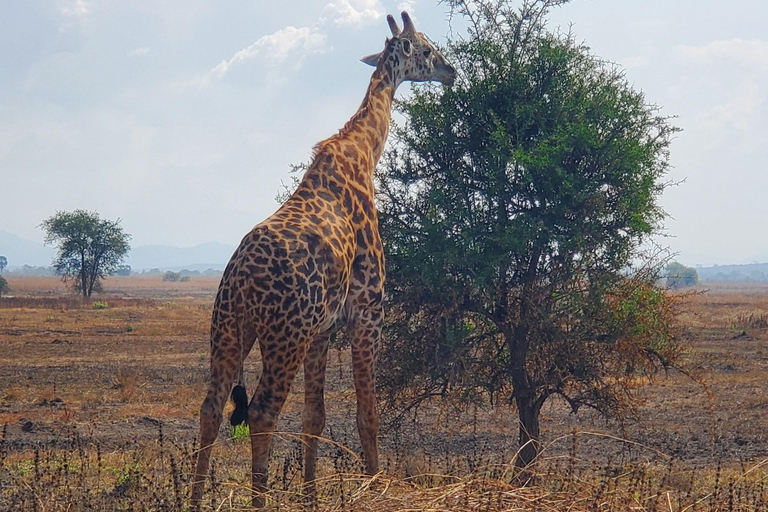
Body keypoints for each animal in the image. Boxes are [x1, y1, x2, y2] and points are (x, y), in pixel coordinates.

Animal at [192, 12, 456, 508]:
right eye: (427, 49)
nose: (451, 72)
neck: (364, 153)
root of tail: (241, 282)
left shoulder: (323, 329)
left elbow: (315, 416)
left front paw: (311, 496)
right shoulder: (368, 308)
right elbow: (367, 411)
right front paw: (373, 484)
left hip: (230, 329)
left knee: (211, 408)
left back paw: (195, 499)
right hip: (284, 335)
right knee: (261, 411)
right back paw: (258, 499)